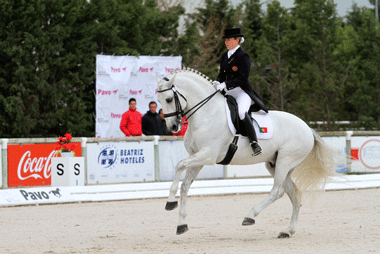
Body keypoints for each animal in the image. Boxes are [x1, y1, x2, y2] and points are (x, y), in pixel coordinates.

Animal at [157, 68, 336, 238]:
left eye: (169, 99)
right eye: (159, 100)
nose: (173, 127)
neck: (207, 113)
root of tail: (307, 128)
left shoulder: (208, 155)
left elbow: (179, 165)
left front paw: (170, 202)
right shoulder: (197, 158)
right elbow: (185, 186)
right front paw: (181, 224)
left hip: (285, 161)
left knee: (277, 191)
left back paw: (250, 216)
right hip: (276, 164)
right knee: (294, 194)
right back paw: (287, 231)